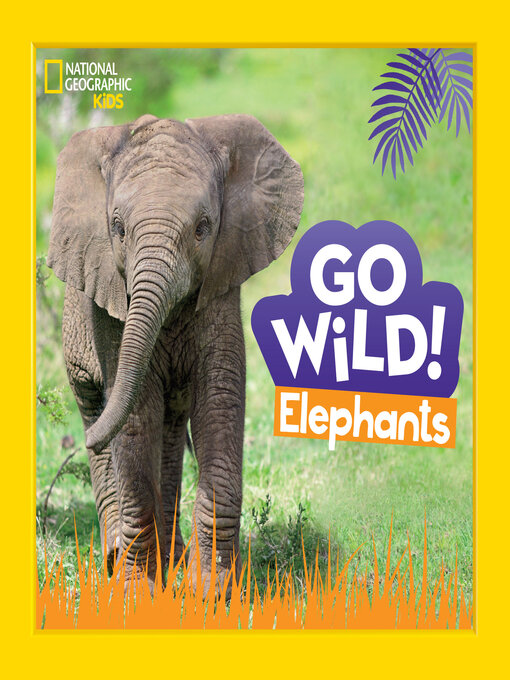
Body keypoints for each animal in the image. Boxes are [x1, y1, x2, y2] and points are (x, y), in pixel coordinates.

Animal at [47, 113, 304, 593]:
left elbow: (218, 404)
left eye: (203, 227)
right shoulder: (111, 309)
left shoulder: (220, 286)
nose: (73, 444)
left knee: (167, 428)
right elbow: (134, 416)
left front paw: (214, 592)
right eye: (118, 228)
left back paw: (176, 558)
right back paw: (117, 559)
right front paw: (137, 594)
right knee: (97, 408)